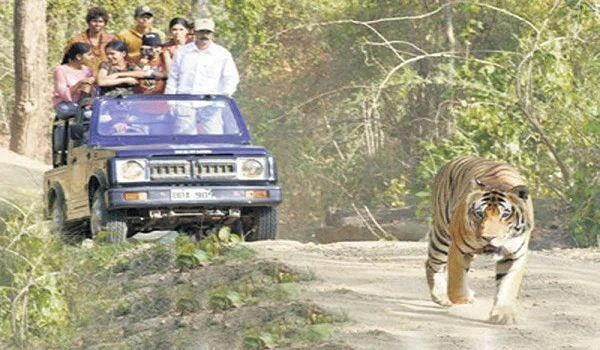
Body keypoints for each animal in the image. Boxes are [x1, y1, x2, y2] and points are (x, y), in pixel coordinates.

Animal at [424, 156, 536, 326]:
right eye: (479, 213)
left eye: (505, 214)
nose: (488, 237)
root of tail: (451, 161)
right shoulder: (459, 249)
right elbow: (456, 284)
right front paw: (465, 297)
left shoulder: (514, 255)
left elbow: (507, 285)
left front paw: (503, 315)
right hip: (442, 234)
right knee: (432, 263)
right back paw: (441, 297)